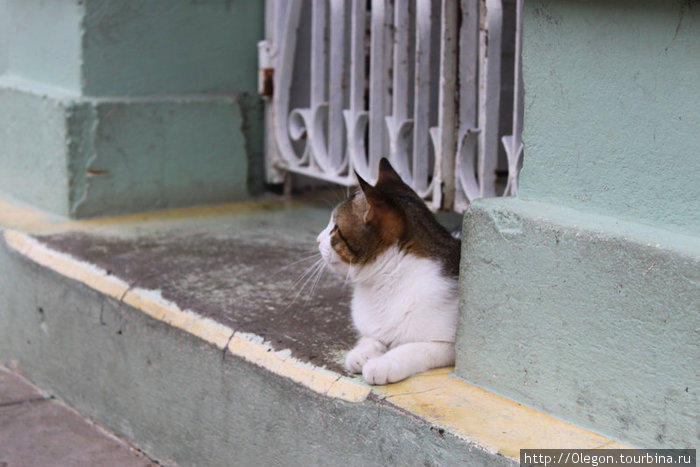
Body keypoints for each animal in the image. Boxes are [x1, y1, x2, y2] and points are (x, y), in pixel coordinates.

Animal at [316, 157, 460, 384]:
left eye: (335, 228)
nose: (318, 240)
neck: (384, 283)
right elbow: (372, 337)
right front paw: (362, 353)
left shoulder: (450, 345)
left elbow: (414, 348)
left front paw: (382, 364)